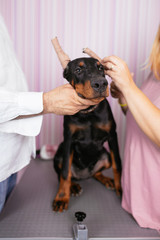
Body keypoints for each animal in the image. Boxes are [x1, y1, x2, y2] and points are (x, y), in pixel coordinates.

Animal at [52, 39, 122, 214]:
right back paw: (73, 187)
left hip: (105, 156)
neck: (88, 113)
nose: (101, 84)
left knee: (97, 173)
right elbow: (65, 172)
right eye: (78, 70)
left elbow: (117, 164)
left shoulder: (112, 135)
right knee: (63, 172)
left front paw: (121, 189)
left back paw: (106, 180)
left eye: (101, 68)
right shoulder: (69, 139)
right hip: (58, 155)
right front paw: (61, 197)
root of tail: (84, 175)